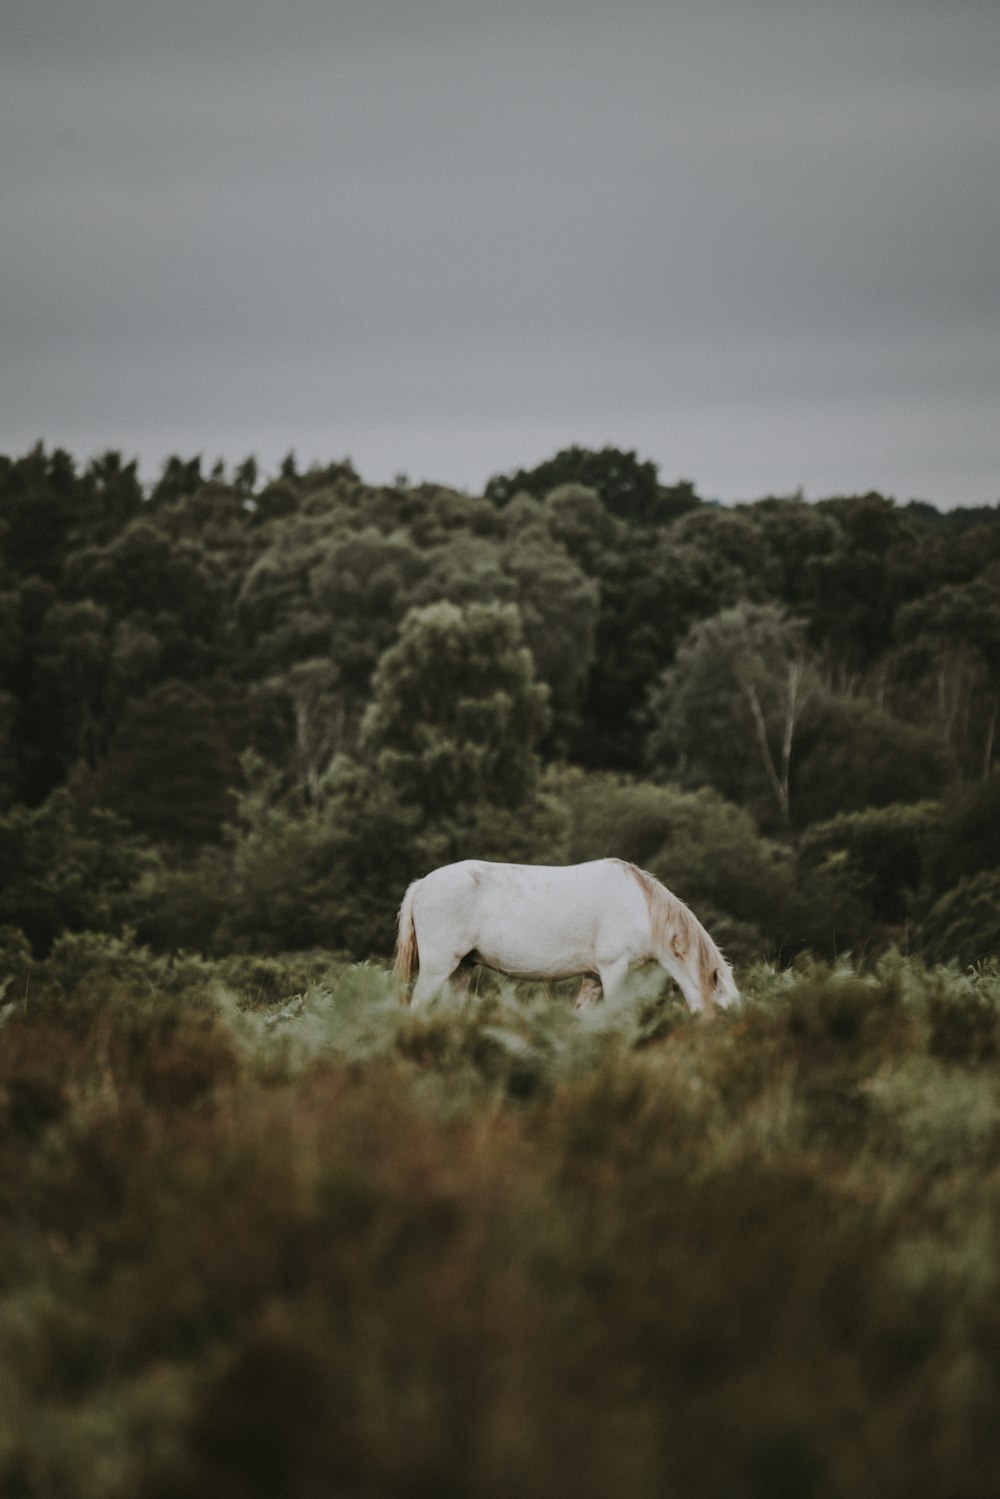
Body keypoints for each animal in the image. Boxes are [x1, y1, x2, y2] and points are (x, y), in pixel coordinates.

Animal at [395, 863, 740, 1013]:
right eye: (726, 1011)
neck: (640, 906)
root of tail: (422, 884)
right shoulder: (613, 971)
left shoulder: (593, 978)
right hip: (438, 968)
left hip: (461, 969)